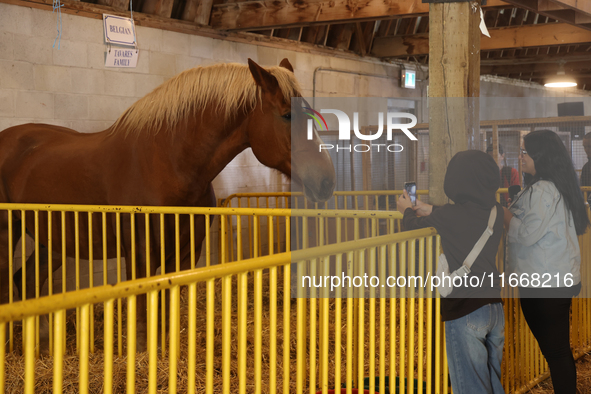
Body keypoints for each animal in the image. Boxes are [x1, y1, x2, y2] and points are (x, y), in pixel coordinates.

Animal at [0, 57, 336, 350]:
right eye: (286, 115)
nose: (327, 181)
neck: (168, 164)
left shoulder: (186, 253)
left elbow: (166, 311)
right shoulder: (140, 253)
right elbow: (142, 316)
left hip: (52, 239)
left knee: (28, 279)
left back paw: (42, 346)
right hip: (10, 231)